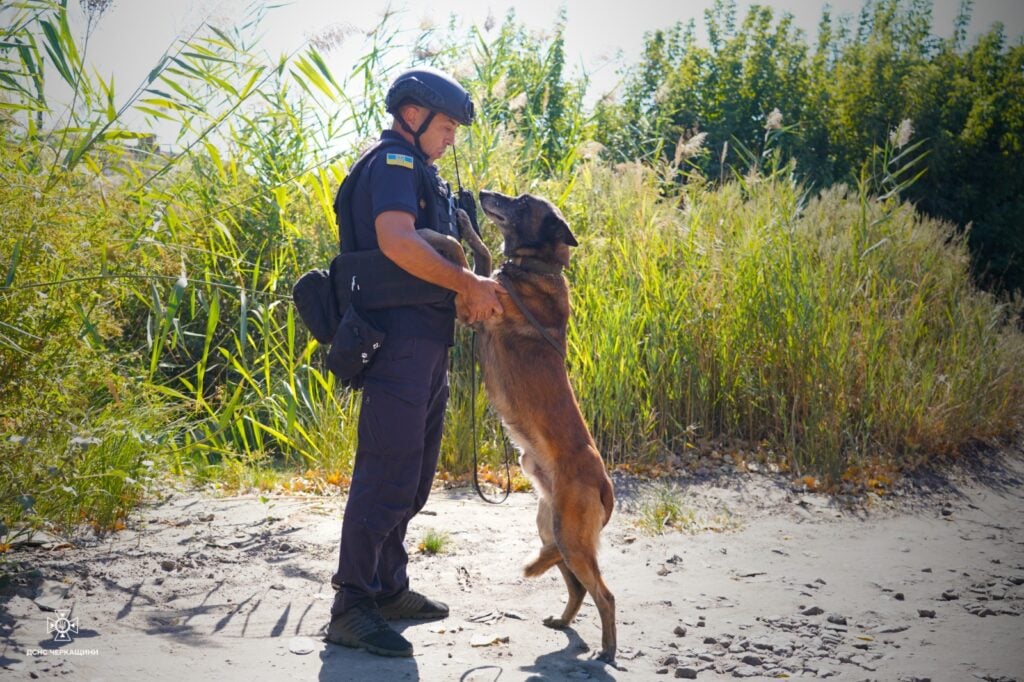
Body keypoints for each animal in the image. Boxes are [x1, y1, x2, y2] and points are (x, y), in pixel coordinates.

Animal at [471, 188, 614, 659]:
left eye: (520, 201)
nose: (482, 192)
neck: (537, 268)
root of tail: (605, 483)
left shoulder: (480, 301)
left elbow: (478, 254)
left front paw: (464, 225)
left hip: (570, 540)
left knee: (604, 594)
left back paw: (608, 650)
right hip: (553, 533)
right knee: (579, 588)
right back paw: (563, 623)